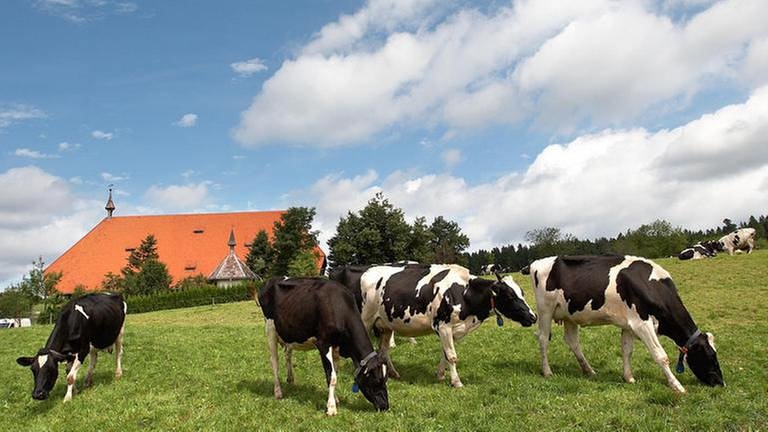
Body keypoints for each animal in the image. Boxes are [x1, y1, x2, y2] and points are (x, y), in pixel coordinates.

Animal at [258, 276, 390, 416]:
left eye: (386, 380)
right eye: (376, 380)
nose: (385, 406)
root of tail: (271, 280)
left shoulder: (336, 346)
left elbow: (334, 373)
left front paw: (335, 399)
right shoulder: (323, 344)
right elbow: (331, 376)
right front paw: (331, 408)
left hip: (288, 333)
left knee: (287, 355)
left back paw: (290, 379)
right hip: (270, 328)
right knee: (274, 363)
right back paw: (278, 392)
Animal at [340, 264, 536, 388]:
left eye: (522, 292)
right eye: (510, 296)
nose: (533, 317)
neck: (464, 292)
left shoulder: (452, 330)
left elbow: (445, 353)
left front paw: (441, 375)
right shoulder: (443, 326)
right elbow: (452, 356)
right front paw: (456, 382)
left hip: (386, 324)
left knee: (383, 350)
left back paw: (393, 373)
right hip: (365, 320)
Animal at [524, 255, 724, 394]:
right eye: (710, 356)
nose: (721, 383)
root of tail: (536, 262)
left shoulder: (629, 324)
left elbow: (627, 350)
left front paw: (629, 377)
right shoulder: (642, 323)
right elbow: (660, 356)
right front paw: (677, 386)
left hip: (570, 315)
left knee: (572, 342)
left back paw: (589, 370)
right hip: (545, 310)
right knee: (543, 339)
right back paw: (547, 371)